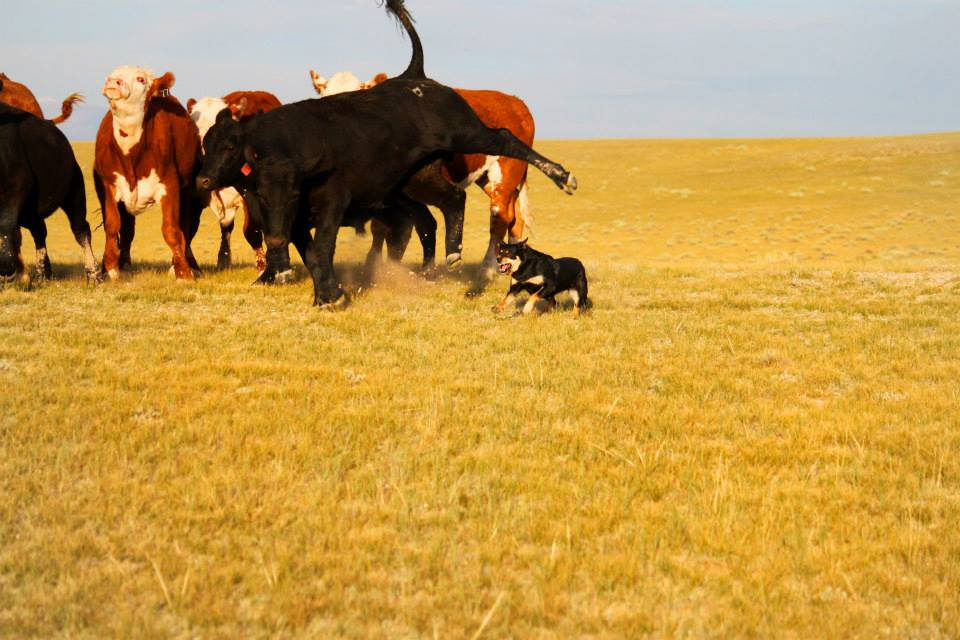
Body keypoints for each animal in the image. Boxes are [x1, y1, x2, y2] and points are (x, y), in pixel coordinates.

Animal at [0, 79, 100, 286]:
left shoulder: (16, 187)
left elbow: (6, 228)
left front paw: (10, 272)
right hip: (31, 211)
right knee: (39, 232)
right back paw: (42, 275)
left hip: (74, 192)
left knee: (81, 230)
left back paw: (94, 274)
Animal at [93, 67, 205, 281]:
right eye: (112, 73)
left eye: (140, 79)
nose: (114, 81)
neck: (130, 153)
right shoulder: (108, 185)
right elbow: (112, 225)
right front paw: (111, 268)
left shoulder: (170, 185)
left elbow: (171, 229)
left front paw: (183, 272)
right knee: (127, 229)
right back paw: (123, 264)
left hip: (187, 191)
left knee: (185, 227)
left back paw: (186, 264)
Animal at [313, 73, 535, 280]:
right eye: (325, 95)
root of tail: (516, 102)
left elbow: (391, 228)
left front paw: (378, 265)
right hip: (490, 180)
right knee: (513, 216)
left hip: (504, 177)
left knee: (498, 220)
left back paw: (487, 269)